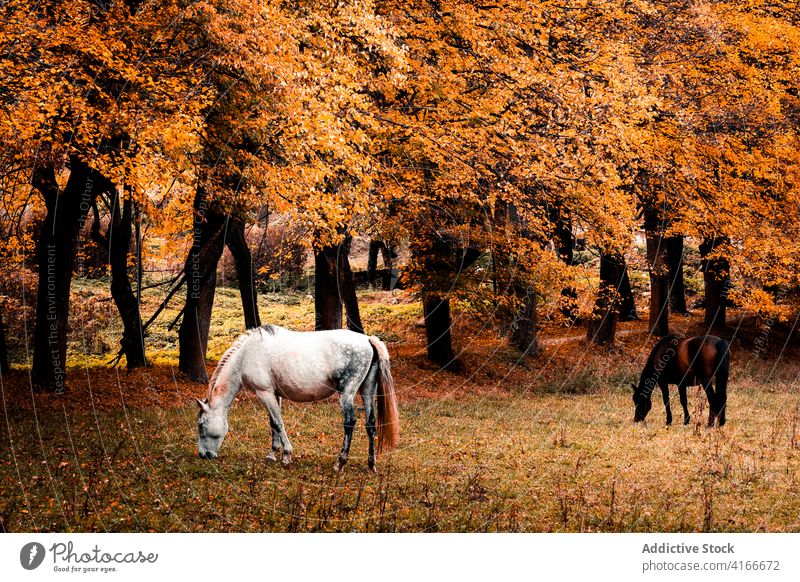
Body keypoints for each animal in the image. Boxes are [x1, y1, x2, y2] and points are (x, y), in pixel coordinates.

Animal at [195, 326, 400, 472]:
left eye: (201, 425)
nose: (203, 455)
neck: (247, 354)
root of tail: (367, 339)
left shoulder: (265, 393)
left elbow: (278, 423)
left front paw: (286, 455)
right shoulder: (274, 394)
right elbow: (273, 423)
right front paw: (272, 453)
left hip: (347, 394)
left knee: (350, 422)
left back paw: (340, 463)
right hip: (367, 391)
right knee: (370, 424)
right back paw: (371, 465)